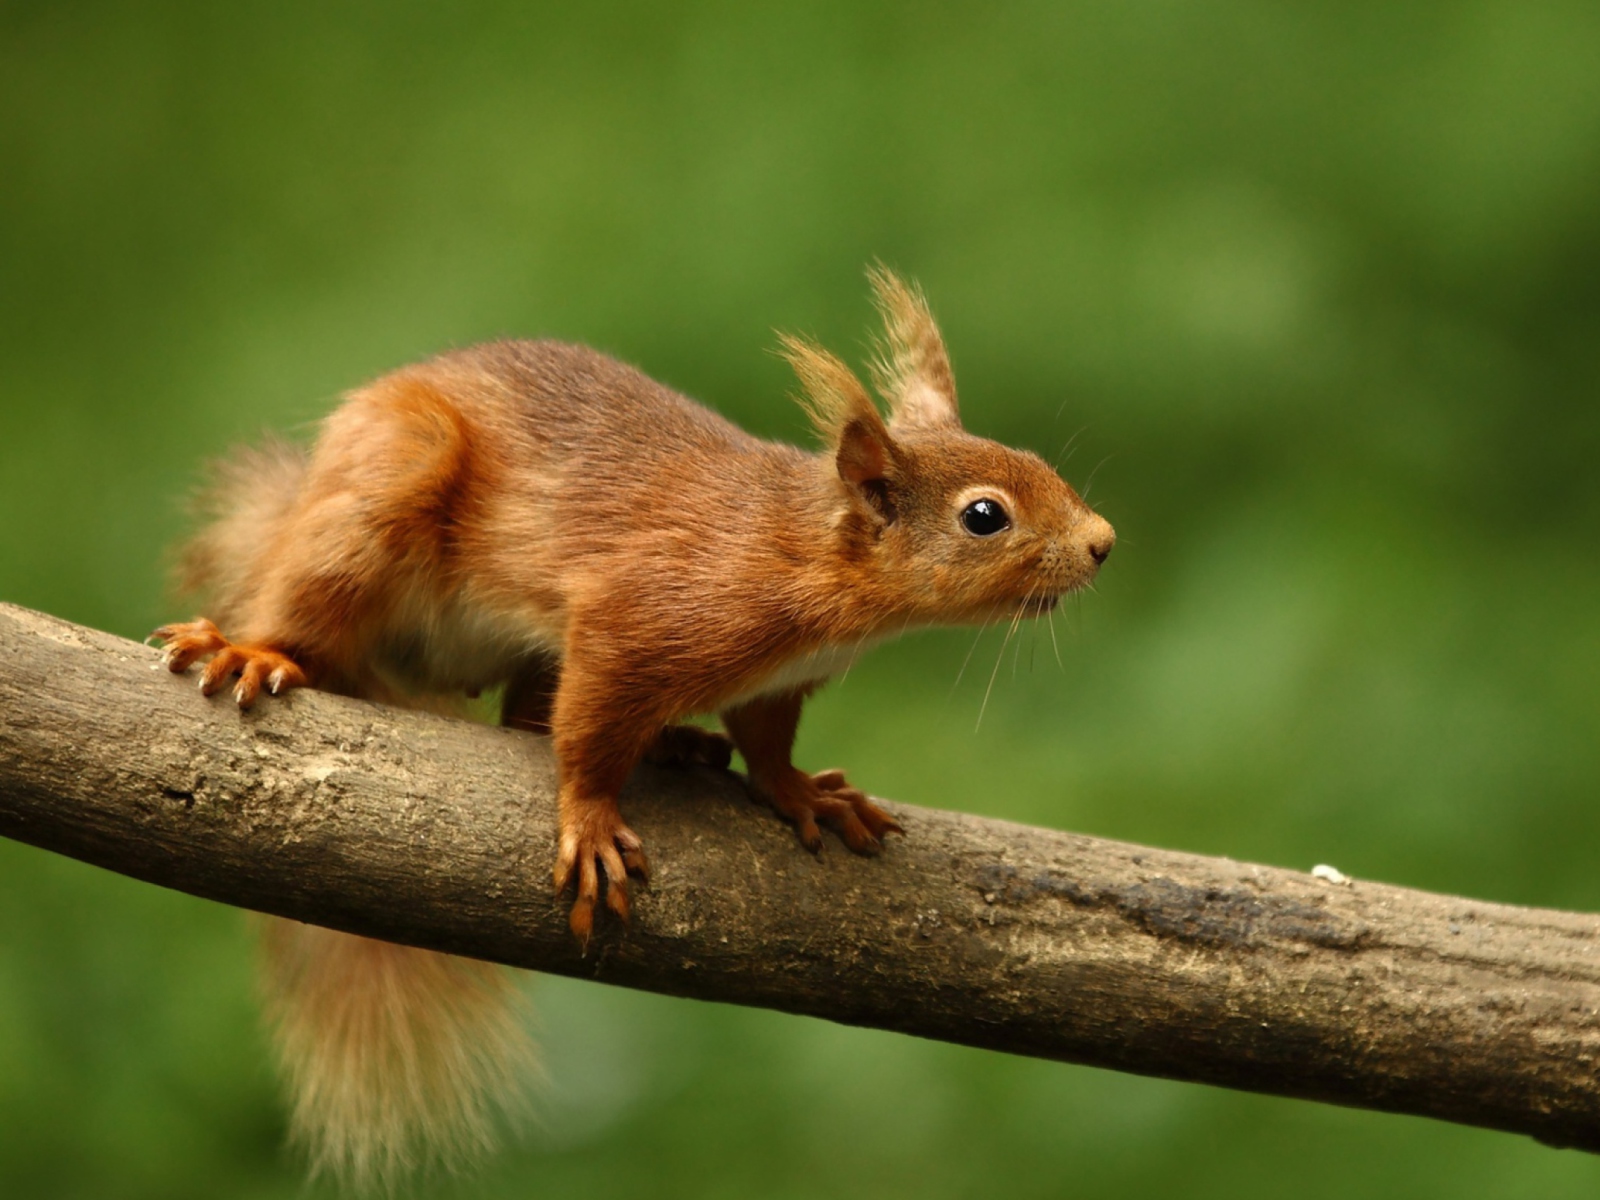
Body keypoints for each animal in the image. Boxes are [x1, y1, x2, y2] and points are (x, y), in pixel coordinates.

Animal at [156, 270, 1120, 1184]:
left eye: (1033, 459)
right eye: (985, 515)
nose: (1105, 542)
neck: (807, 558)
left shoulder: (778, 682)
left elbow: (766, 743)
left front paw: (802, 794)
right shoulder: (638, 621)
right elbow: (588, 734)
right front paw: (589, 822)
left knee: (522, 715)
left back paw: (676, 743)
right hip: (386, 488)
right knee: (315, 605)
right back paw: (252, 647)